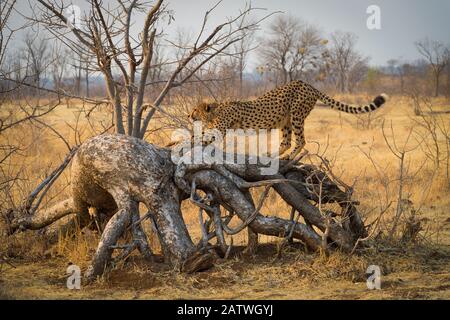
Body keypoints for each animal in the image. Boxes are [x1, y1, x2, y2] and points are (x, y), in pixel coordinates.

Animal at [188, 80, 388, 159]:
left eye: (194, 109)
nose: (189, 115)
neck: (214, 111)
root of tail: (305, 83)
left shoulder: (220, 128)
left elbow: (202, 139)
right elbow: (199, 136)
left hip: (296, 116)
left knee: (300, 141)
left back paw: (288, 158)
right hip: (285, 122)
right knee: (286, 142)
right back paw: (271, 155)